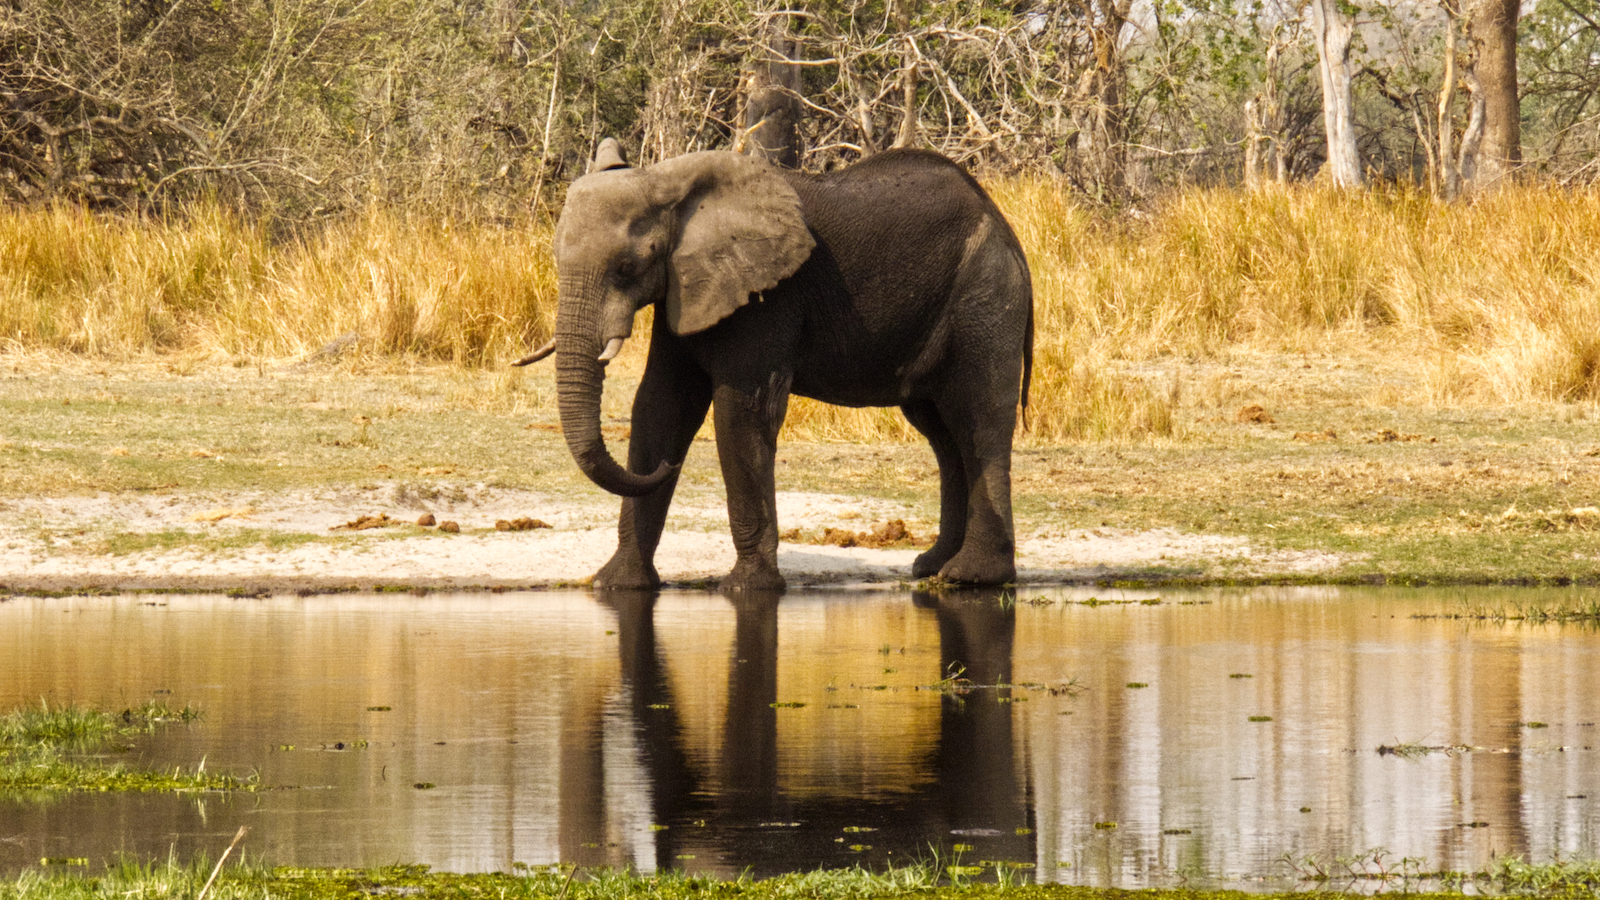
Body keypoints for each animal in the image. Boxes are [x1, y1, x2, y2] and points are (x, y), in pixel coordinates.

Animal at [518, 138, 1030, 589]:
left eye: (628, 267)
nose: (667, 465)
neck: (669, 185)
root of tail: (1002, 223)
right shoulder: (686, 288)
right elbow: (660, 405)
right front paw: (615, 585)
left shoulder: (768, 295)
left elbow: (740, 412)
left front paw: (748, 587)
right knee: (943, 434)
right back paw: (931, 566)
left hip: (985, 295)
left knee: (978, 420)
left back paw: (972, 577)